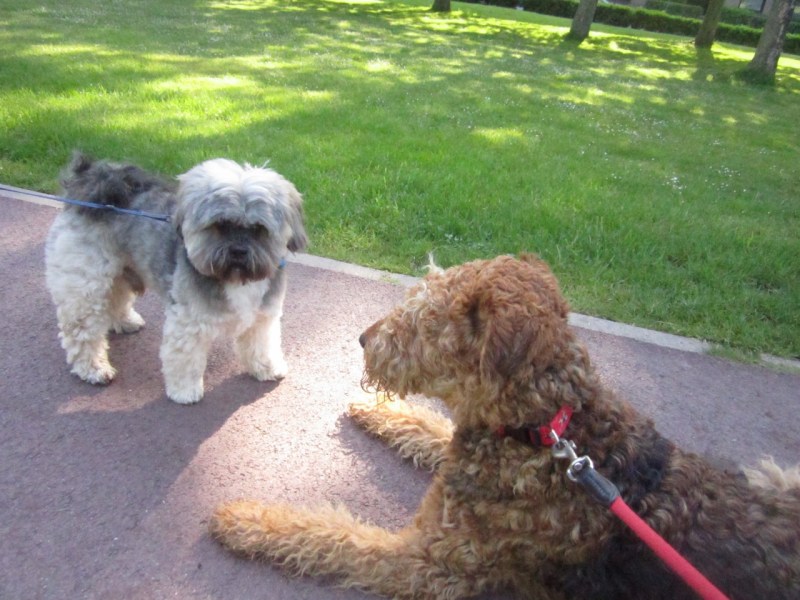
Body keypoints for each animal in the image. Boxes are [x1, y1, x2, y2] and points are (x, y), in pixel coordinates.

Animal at [45, 152, 307, 404]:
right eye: (220, 225)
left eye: (258, 229)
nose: (238, 251)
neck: (235, 280)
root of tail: (90, 181)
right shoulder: (188, 324)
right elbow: (185, 360)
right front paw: (185, 391)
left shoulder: (262, 317)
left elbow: (261, 345)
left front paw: (266, 367)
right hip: (84, 286)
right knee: (82, 331)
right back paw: (94, 368)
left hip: (121, 270)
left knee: (116, 296)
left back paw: (125, 321)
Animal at [209, 254, 800, 598]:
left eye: (428, 319)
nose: (363, 339)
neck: (541, 433)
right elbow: (431, 429)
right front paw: (378, 411)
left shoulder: (430, 563)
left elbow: (331, 535)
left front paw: (244, 520)